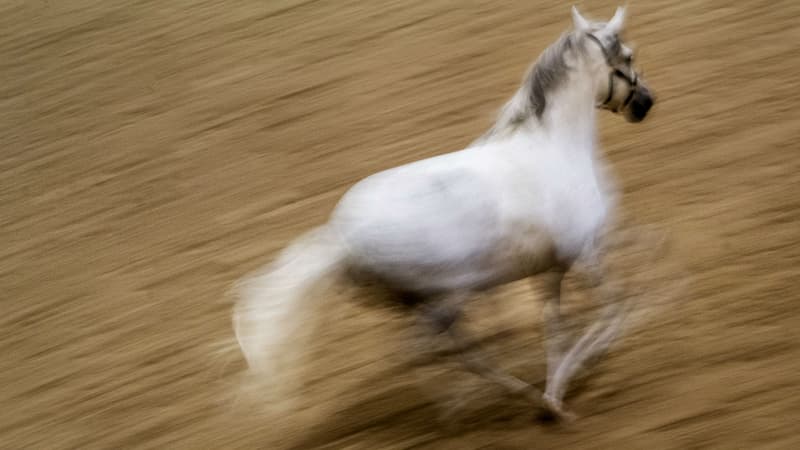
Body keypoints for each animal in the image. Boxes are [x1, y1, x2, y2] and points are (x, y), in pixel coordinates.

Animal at [231, 6, 648, 422]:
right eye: (628, 56)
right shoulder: (584, 253)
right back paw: (471, 406)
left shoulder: (551, 269)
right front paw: (567, 385)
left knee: (454, 352)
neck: (555, 147)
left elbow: (558, 325)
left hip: (433, 302)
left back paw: (512, 395)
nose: (646, 101)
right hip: (447, 298)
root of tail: (341, 240)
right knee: (428, 352)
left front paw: (556, 387)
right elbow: (614, 309)